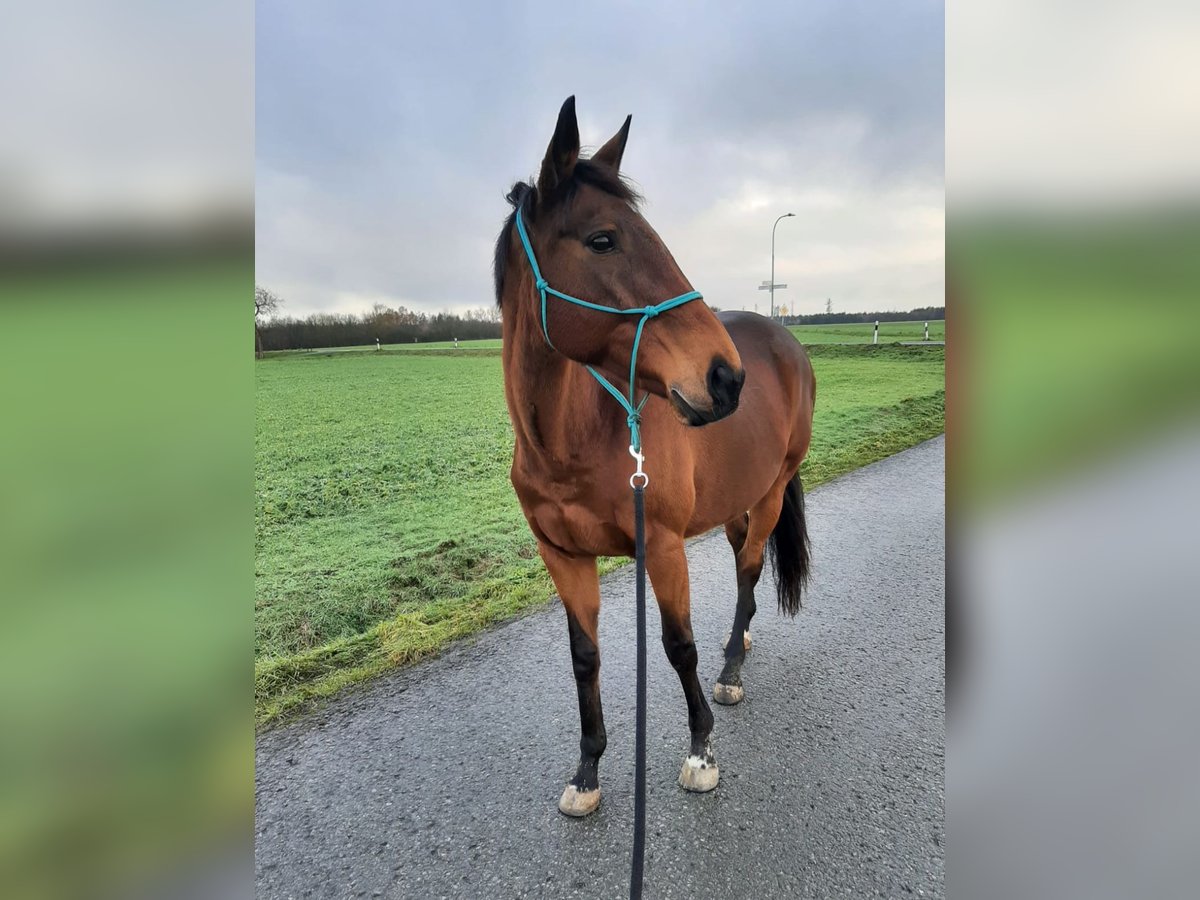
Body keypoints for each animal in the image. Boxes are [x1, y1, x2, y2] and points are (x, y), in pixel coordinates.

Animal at [494, 97, 816, 816]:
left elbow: (678, 647)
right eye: (602, 240)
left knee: (749, 568)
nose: (724, 377)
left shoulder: (662, 546)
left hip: (771, 490)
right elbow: (584, 657)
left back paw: (731, 668)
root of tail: (783, 340)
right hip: (735, 498)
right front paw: (588, 769)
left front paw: (701, 749)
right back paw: (740, 638)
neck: (576, 442)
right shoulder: (563, 557)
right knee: (744, 564)